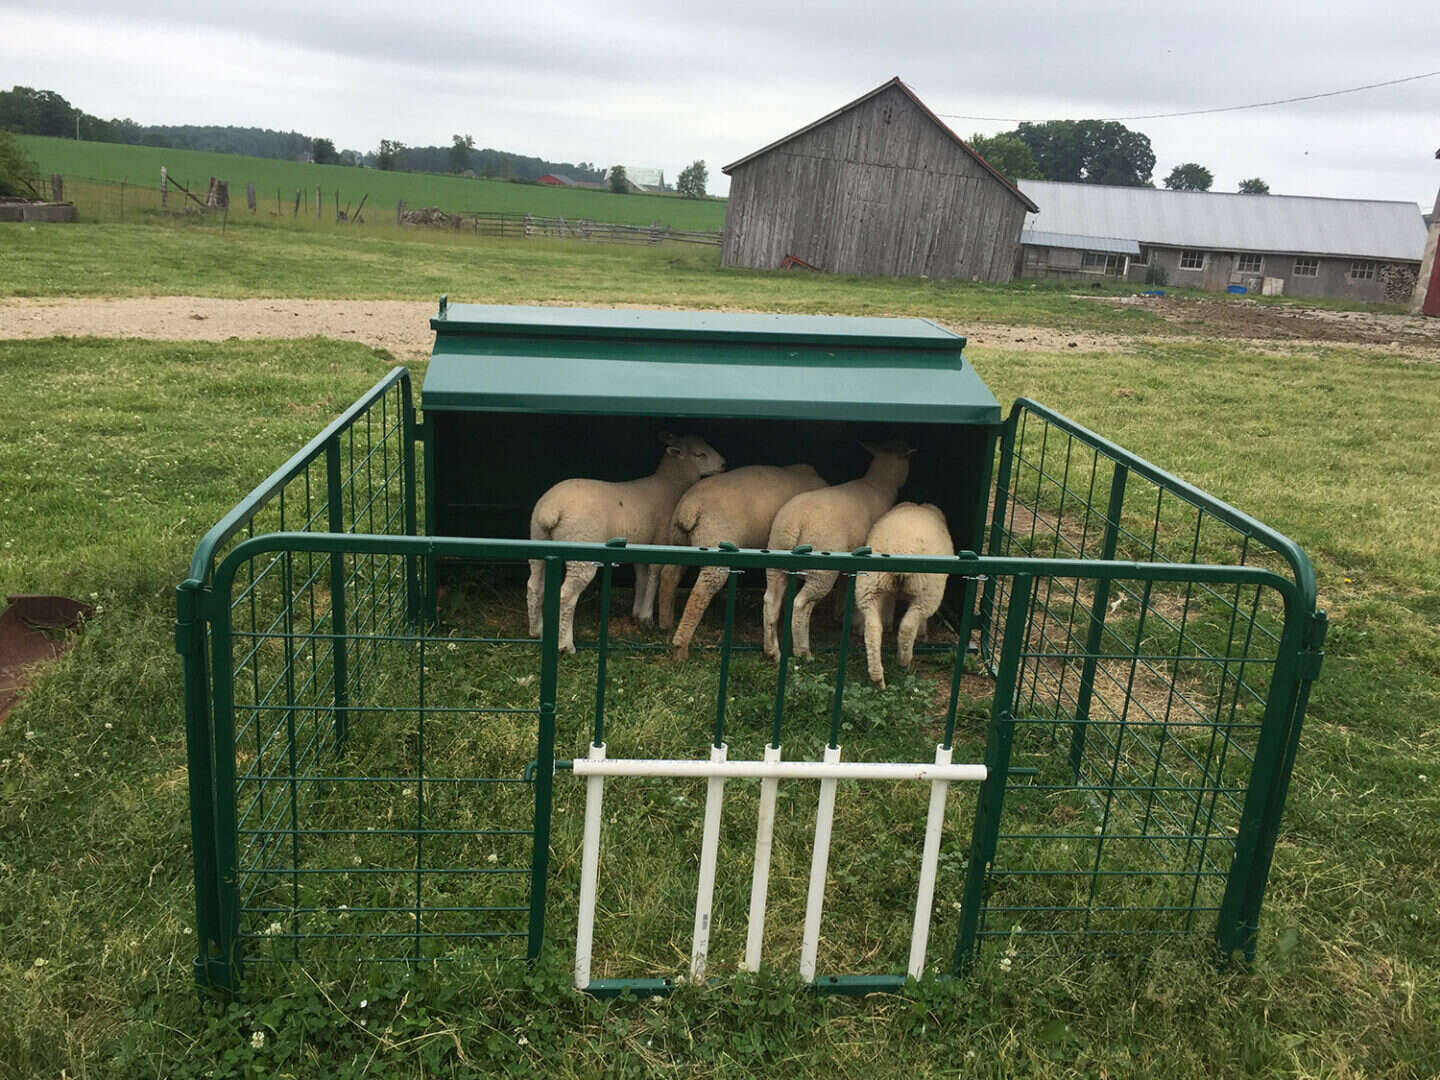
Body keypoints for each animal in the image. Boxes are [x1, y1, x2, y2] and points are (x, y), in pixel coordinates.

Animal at [527, 432, 725, 654]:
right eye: (700, 454)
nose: (724, 464)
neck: (669, 485)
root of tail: (551, 510)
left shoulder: (640, 543)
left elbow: (641, 575)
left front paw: (637, 613)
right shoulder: (660, 540)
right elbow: (654, 575)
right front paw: (647, 617)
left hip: (538, 538)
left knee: (534, 585)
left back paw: (537, 631)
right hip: (581, 547)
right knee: (566, 596)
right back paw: (565, 645)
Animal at [657, 464, 827, 659]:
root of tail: (689, 508)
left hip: (678, 541)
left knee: (669, 574)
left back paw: (665, 623)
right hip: (713, 544)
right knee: (700, 593)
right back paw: (681, 646)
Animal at [761, 441, 913, 661]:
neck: (879, 485)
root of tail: (795, 523)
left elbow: (844, 584)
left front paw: (840, 614)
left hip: (776, 557)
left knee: (771, 600)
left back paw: (772, 651)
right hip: (821, 569)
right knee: (801, 604)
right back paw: (803, 651)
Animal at [854, 503, 954, 689]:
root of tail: (901, 548)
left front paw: (888, 624)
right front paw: (922, 635)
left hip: (870, 587)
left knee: (872, 630)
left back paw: (877, 677)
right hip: (927, 593)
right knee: (908, 627)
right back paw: (903, 662)